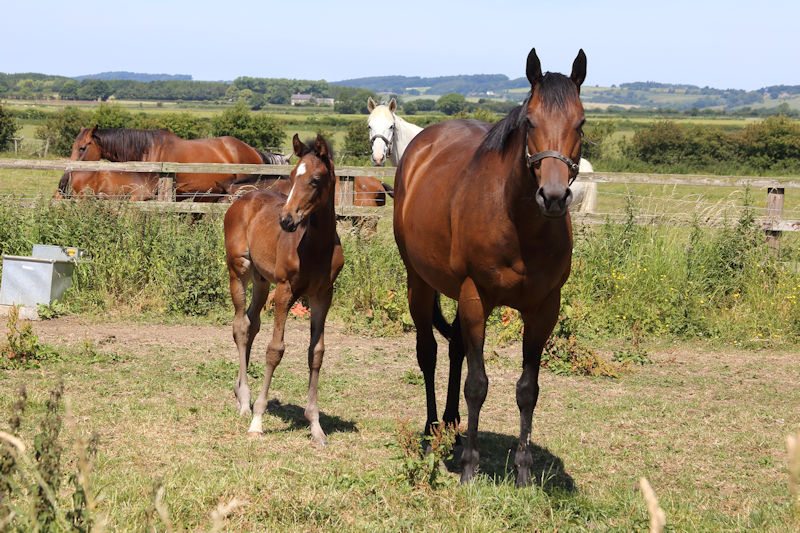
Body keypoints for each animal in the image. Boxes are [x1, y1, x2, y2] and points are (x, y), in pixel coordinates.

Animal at [224, 134, 344, 445]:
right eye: (291, 176)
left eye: (315, 179)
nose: (286, 220)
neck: (315, 246)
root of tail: (244, 198)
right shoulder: (285, 291)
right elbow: (275, 350)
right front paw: (257, 420)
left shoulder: (323, 295)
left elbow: (316, 352)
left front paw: (315, 426)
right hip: (239, 269)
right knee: (240, 326)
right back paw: (245, 401)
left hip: (262, 280)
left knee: (251, 324)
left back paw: (240, 393)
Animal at [393, 48, 587, 486]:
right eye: (530, 121)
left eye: (581, 122)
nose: (553, 196)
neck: (518, 224)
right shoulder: (475, 297)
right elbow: (478, 384)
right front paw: (469, 467)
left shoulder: (544, 308)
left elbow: (528, 389)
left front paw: (524, 470)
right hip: (420, 283)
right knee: (429, 352)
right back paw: (431, 431)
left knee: (455, 348)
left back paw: (452, 425)